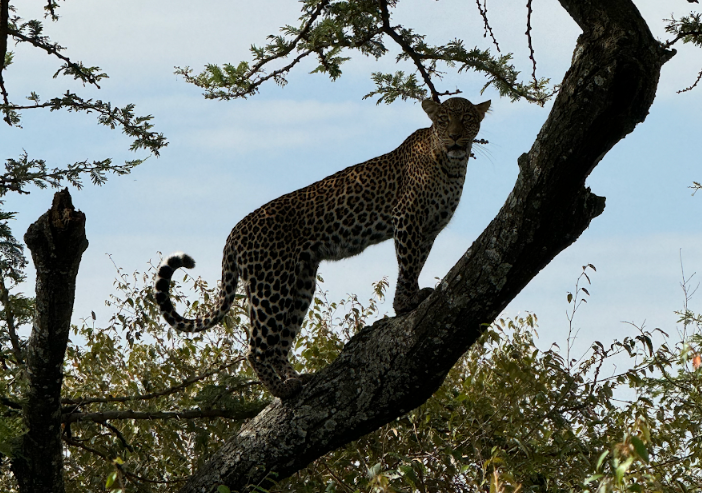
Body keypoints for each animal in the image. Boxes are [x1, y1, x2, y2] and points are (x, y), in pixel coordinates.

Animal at [157, 95, 492, 396]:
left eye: (468, 119)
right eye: (443, 120)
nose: (455, 137)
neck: (451, 167)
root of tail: (234, 232)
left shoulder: (429, 230)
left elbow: (417, 263)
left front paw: (409, 297)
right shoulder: (408, 220)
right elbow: (407, 265)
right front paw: (405, 303)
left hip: (299, 282)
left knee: (279, 343)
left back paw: (295, 379)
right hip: (270, 284)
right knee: (258, 347)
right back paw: (281, 389)